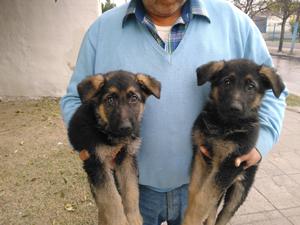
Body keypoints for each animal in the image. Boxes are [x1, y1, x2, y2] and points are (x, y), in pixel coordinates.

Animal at [68, 71, 162, 225]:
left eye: (134, 98)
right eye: (110, 100)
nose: (126, 128)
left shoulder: (127, 158)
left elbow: (131, 190)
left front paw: (133, 217)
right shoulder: (96, 163)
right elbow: (111, 198)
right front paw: (120, 221)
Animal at [182, 59, 284, 224]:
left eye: (251, 86)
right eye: (227, 82)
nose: (235, 108)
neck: (224, 125)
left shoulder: (229, 165)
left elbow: (203, 198)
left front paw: (191, 220)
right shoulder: (200, 155)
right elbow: (195, 191)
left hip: (239, 190)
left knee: (224, 214)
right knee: (212, 211)